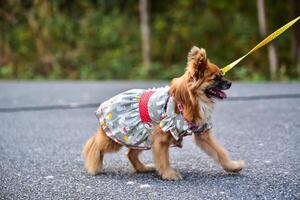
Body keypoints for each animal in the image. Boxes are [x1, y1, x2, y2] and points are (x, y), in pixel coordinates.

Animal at [82, 46, 244, 180]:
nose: (230, 83)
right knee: (94, 143)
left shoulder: (202, 134)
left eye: (222, 75)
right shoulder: (162, 137)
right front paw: (169, 174)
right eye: (216, 78)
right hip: (116, 137)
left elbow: (220, 152)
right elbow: (163, 159)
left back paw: (142, 168)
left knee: (130, 154)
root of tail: (108, 103)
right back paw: (93, 164)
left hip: (142, 136)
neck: (193, 101)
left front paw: (232, 166)